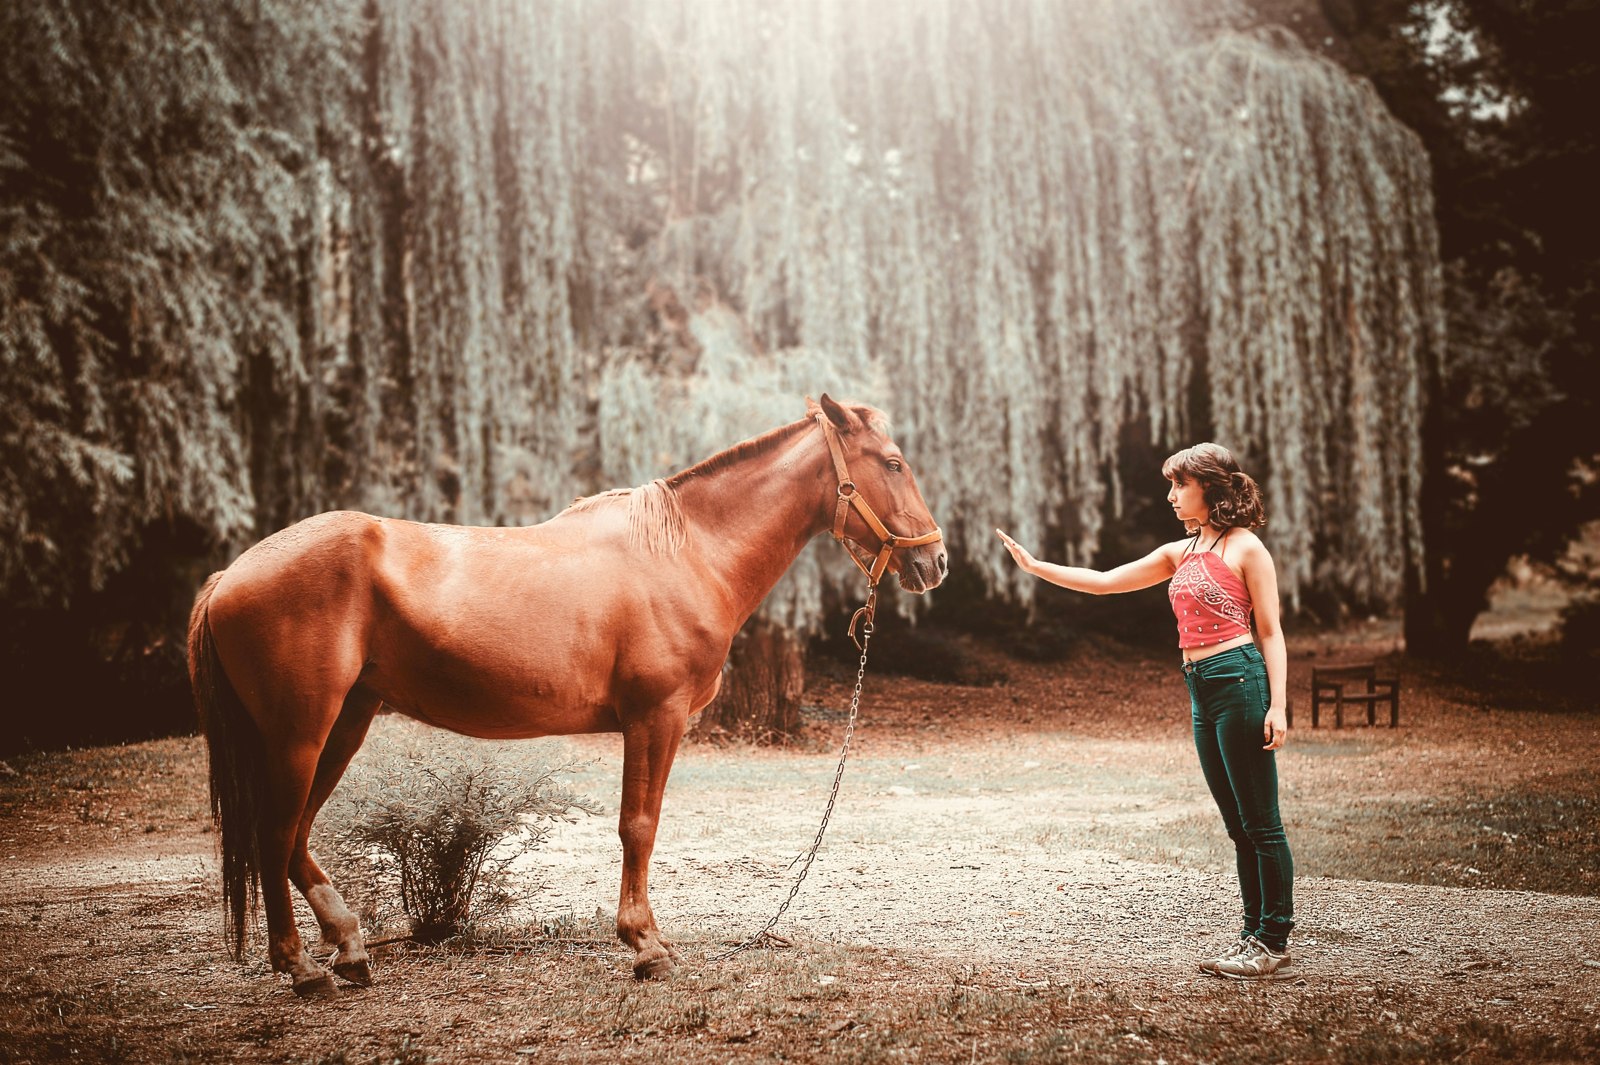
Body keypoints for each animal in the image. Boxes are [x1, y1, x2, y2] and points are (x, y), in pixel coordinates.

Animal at [187, 393, 947, 995]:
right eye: (893, 462)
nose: (934, 561)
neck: (685, 551)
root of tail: (231, 575)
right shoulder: (655, 718)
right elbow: (639, 826)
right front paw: (646, 946)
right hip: (300, 733)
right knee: (275, 832)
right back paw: (302, 967)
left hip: (344, 722)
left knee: (294, 835)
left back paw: (348, 949)